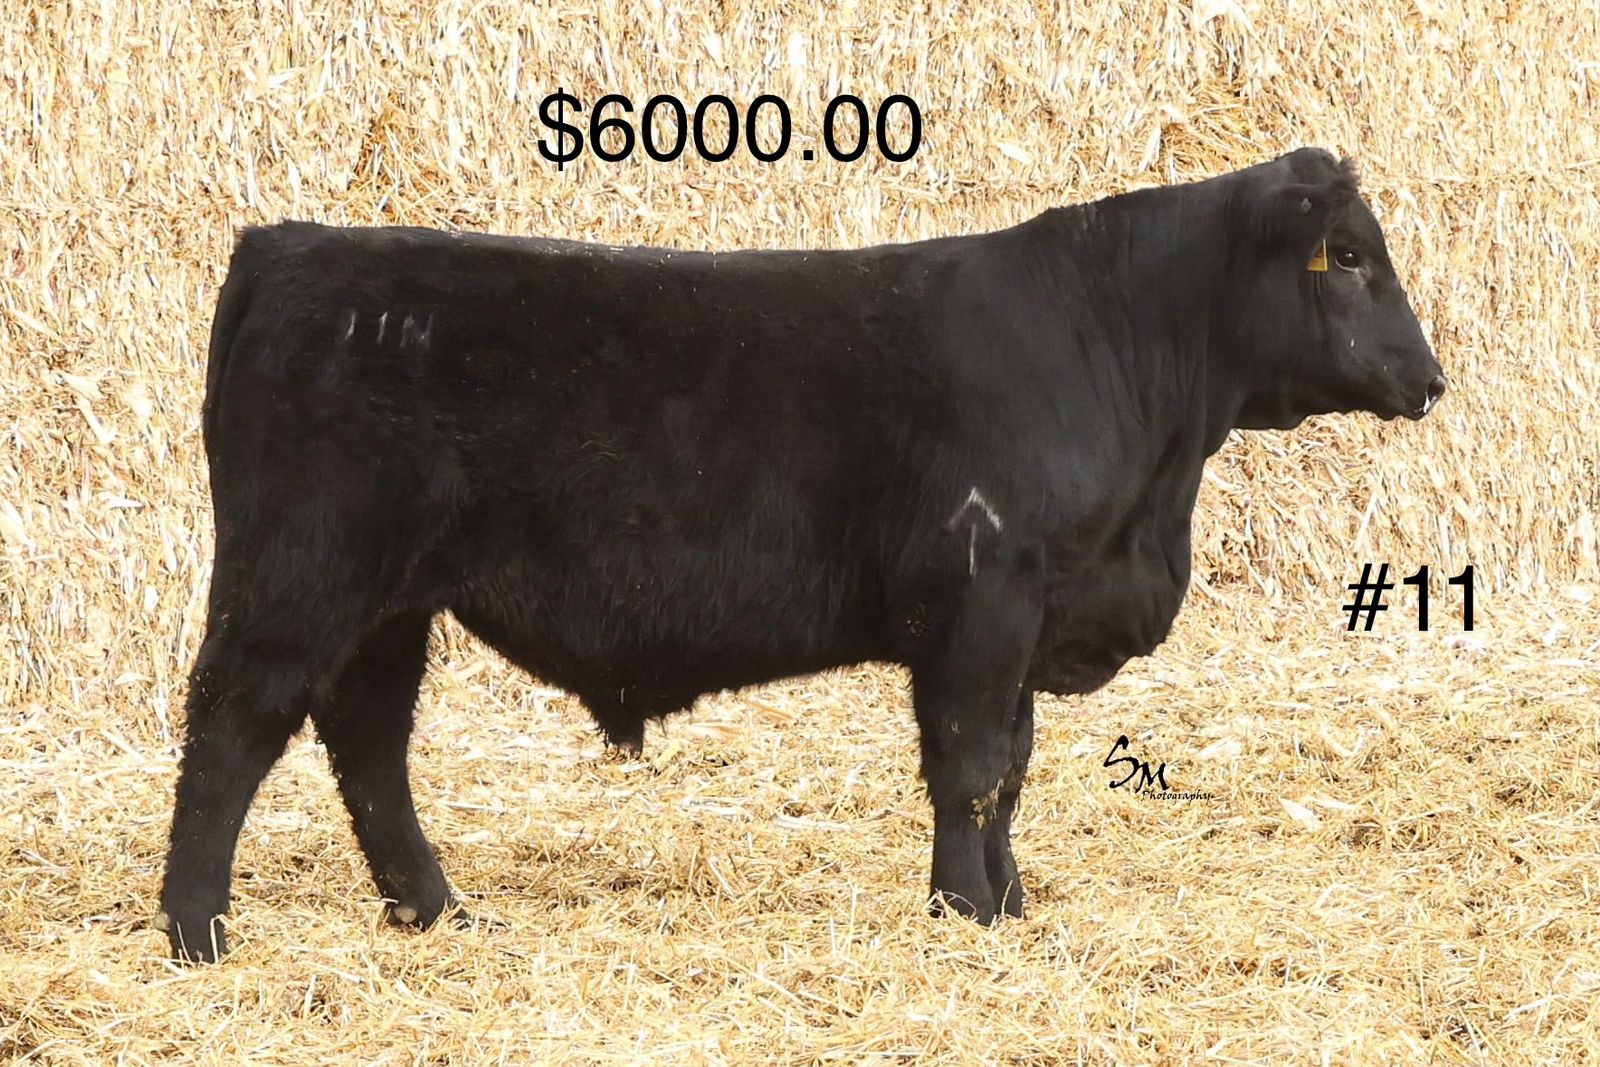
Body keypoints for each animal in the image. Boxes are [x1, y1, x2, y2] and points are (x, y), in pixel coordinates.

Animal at [157, 147, 1446, 961]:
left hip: (388, 601)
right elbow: (971, 765)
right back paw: (196, 929)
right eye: (1349, 258)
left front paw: (1010, 902)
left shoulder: (1026, 616)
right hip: (301, 574)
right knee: (234, 721)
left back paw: (435, 911)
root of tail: (288, 247)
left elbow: (1013, 768)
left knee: (366, 739)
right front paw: (965, 911)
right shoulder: (983, 601)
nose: (1429, 379)